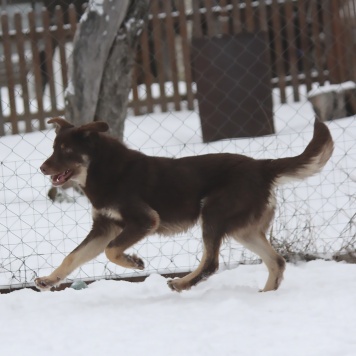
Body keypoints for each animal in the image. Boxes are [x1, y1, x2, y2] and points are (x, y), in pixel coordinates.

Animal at [34, 117, 332, 292]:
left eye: (66, 150)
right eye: (53, 147)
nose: (41, 168)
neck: (101, 169)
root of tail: (262, 167)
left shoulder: (143, 220)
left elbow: (111, 251)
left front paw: (134, 262)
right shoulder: (104, 226)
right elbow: (73, 256)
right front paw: (49, 280)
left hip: (212, 213)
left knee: (211, 262)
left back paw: (183, 283)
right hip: (242, 230)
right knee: (276, 261)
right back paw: (266, 294)